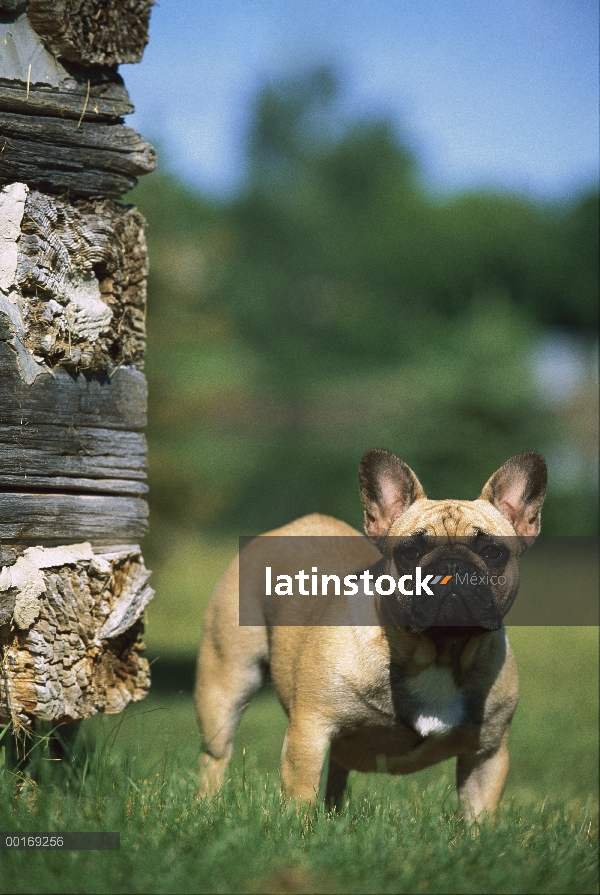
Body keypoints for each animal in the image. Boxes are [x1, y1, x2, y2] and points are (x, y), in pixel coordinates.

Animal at [195, 452, 548, 824]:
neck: (437, 651)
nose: (452, 566)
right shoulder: (310, 732)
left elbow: (479, 815)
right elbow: (301, 796)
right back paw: (207, 806)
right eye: (410, 552)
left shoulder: (487, 753)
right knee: (216, 755)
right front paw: (301, 830)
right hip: (226, 682)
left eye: (493, 551)